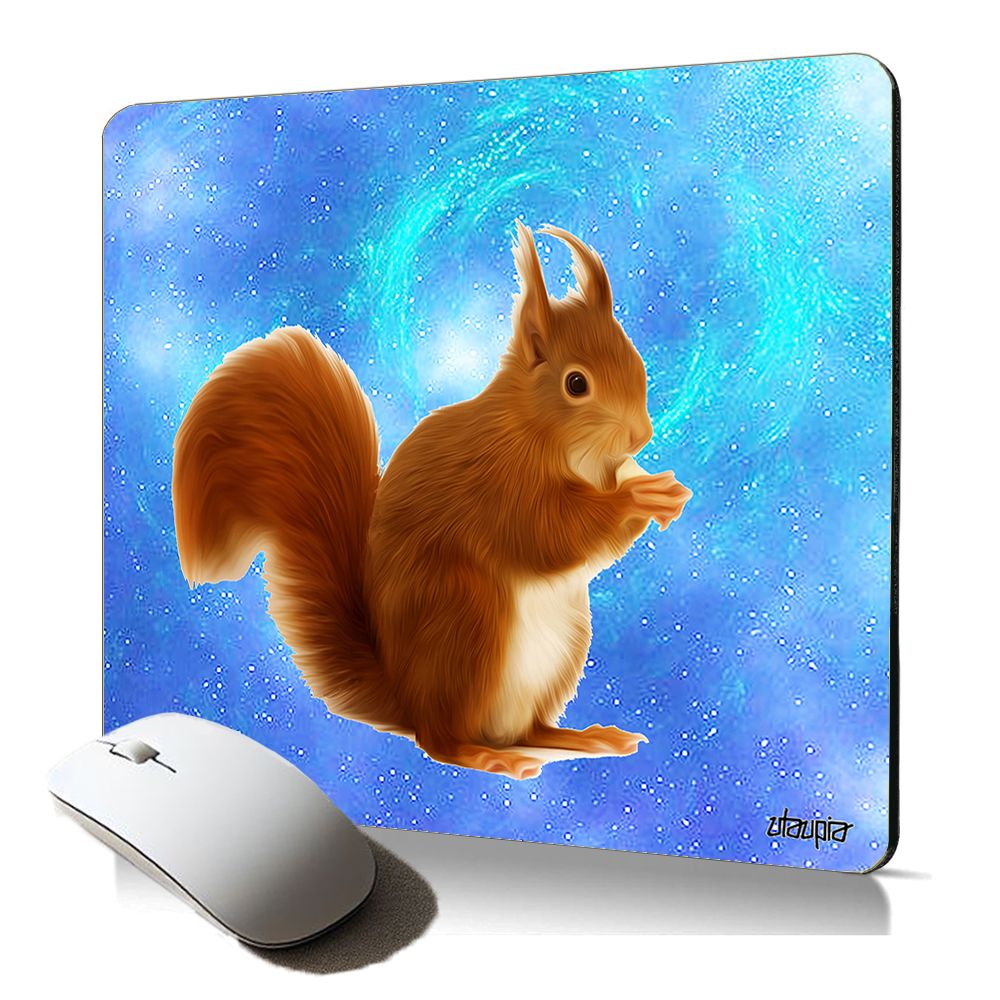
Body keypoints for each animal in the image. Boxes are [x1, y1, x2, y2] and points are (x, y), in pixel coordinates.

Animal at [172, 221, 692, 779]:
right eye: (576, 383)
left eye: (636, 361)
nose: (641, 436)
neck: (538, 433)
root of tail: (404, 696)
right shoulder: (498, 485)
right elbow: (547, 534)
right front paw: (639, 495)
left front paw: (664, 492)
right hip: (467, 627)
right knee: (439, 740)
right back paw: (488, 756)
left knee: (529, 729)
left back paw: (581, 737)